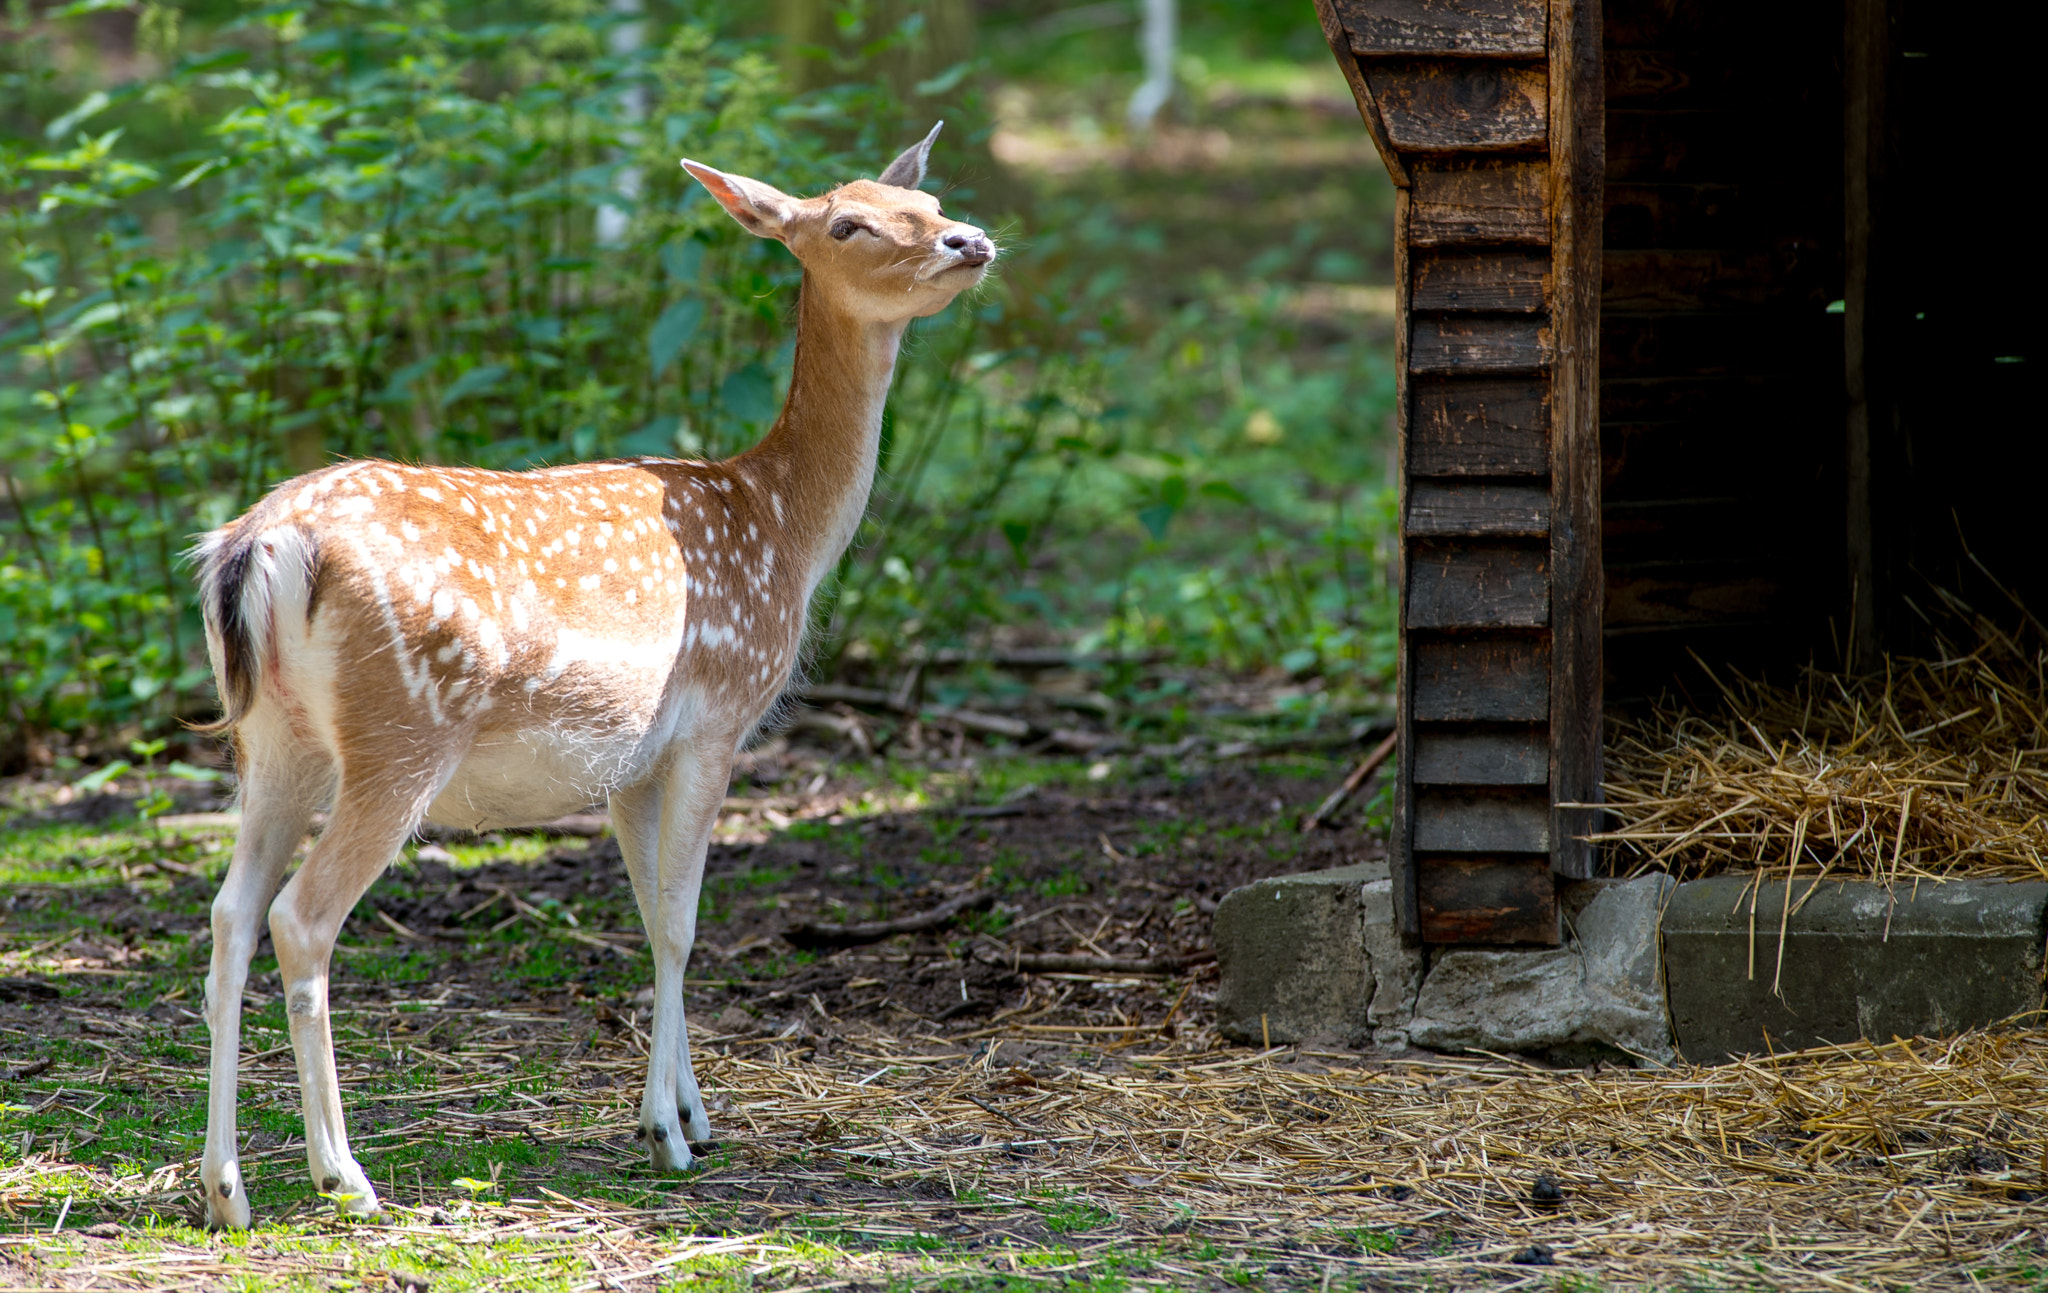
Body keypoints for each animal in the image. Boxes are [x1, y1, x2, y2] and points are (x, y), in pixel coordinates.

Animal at [195, 126, 995, 1229]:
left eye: (930, 201)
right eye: (848, 223)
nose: (972, 240)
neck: (784, 529)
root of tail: (259, 550)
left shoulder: (628, 763)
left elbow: (650, 913)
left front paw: (693, 1112)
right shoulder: (717, 717)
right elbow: (683, 925)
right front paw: (667, 1135)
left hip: (274, 740)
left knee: (229, 915)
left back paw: (224, 1188)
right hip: (400, 734)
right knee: (299, 919)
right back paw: (342, 1176)